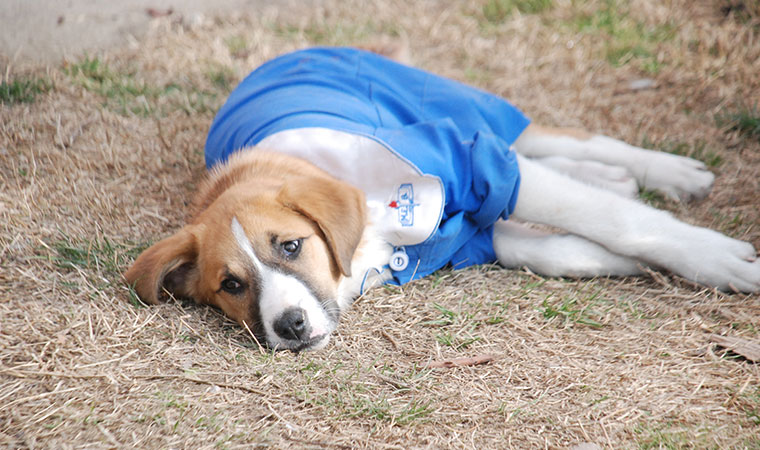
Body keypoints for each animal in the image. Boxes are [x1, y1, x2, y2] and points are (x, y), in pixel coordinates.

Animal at [126, 47, 760, 354]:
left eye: (290, 246)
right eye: (230, 286)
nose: (290, 325)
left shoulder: (471, 163)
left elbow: (611, 219)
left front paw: (715, 259)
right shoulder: (461, 239)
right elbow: (552, 248)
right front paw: (619, 262)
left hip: (460, 106)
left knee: (555, 140)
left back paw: (671, 173)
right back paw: (610, 176)